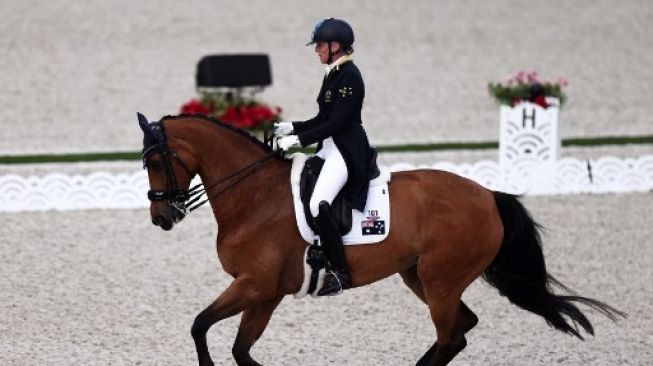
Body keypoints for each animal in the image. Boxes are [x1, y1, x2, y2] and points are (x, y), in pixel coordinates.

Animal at [136, 114, 620, 366]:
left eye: (156, 163)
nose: (161, 218)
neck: (253, 196)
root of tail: (487, 195)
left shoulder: (253, 285)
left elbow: (200, 326)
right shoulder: (265, 293)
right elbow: (238, 348)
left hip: (440, 280)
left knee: (451, 336)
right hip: (419, 277)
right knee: (460, 330)